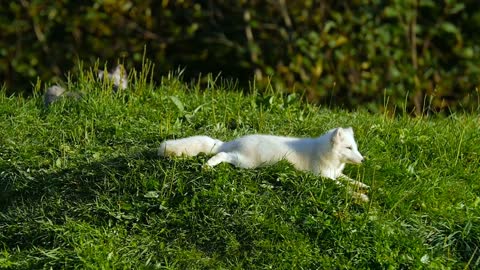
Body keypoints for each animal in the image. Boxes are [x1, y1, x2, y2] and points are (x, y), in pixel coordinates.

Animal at [159, 127, 370, 201]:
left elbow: (349, 180)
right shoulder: (323, 178)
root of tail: (231, 142)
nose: (362, 160)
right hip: (244, 162)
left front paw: (364, 186)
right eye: (349, 148)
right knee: (222, 155)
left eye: (356, 148)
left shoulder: (334, 173)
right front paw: (361, 197)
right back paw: (208, 166)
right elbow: (342, 187)